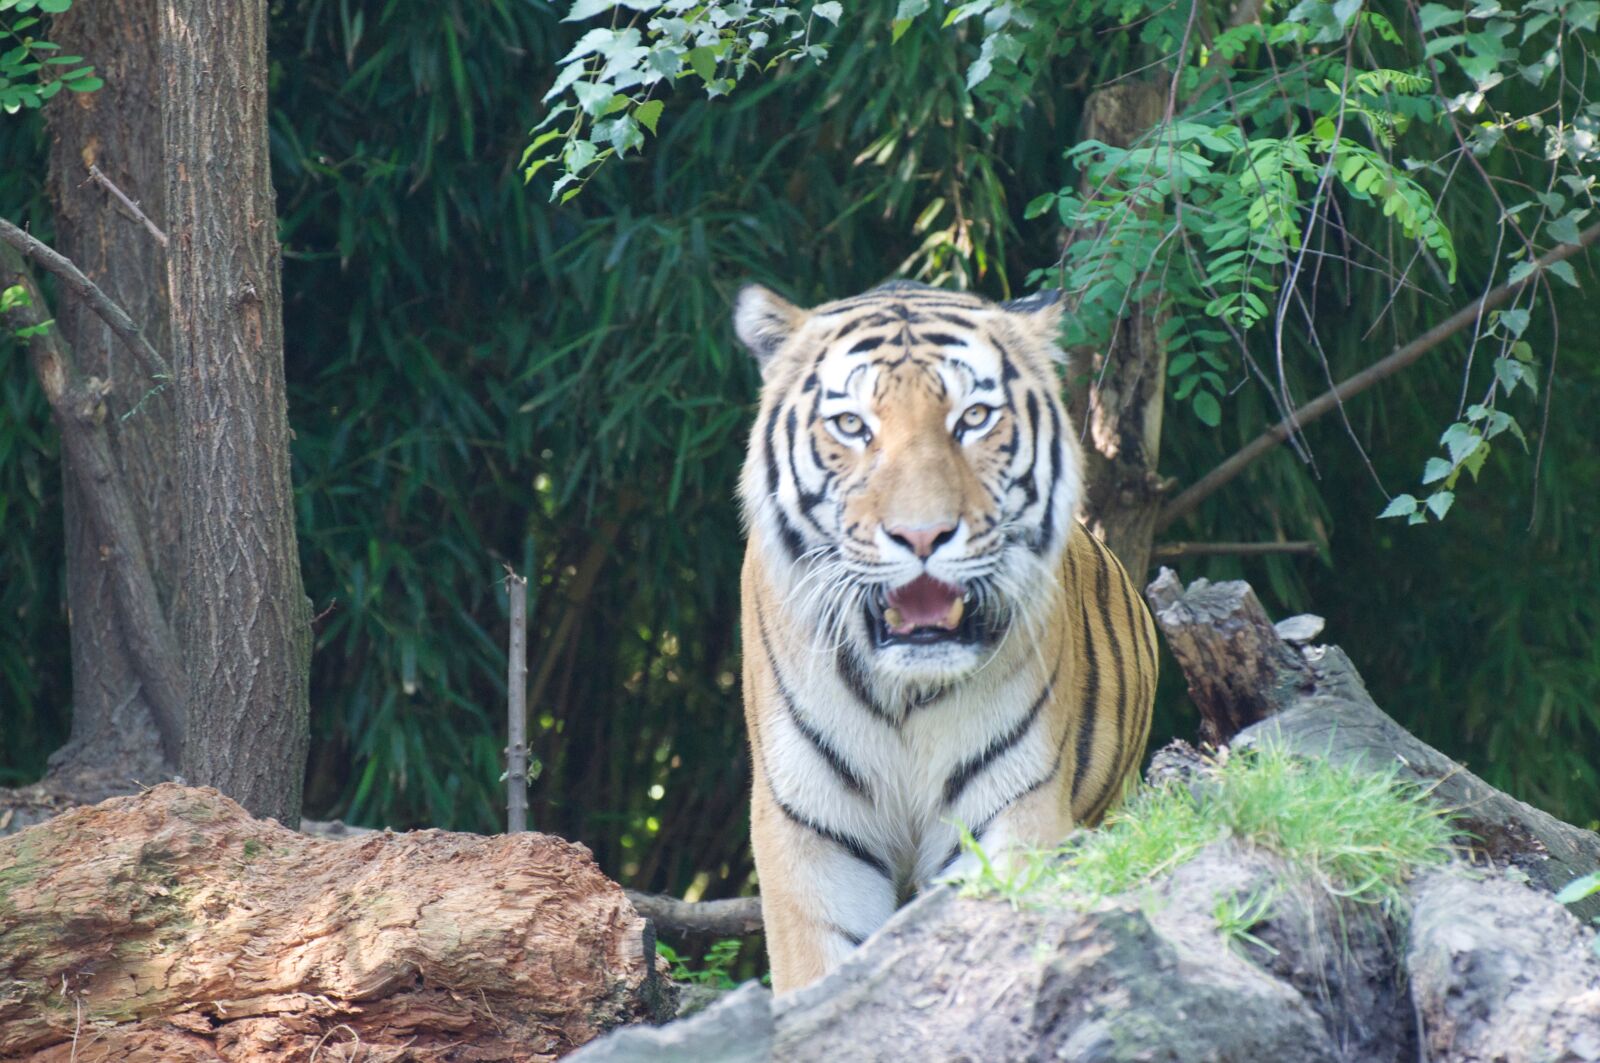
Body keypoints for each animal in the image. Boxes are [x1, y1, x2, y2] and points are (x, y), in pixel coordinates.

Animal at [733, 279, 1159, 994]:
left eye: (975, 418)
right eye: (852, 425)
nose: (922, 534)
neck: (903, 694)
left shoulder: (1010, 810)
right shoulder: (809, 833)